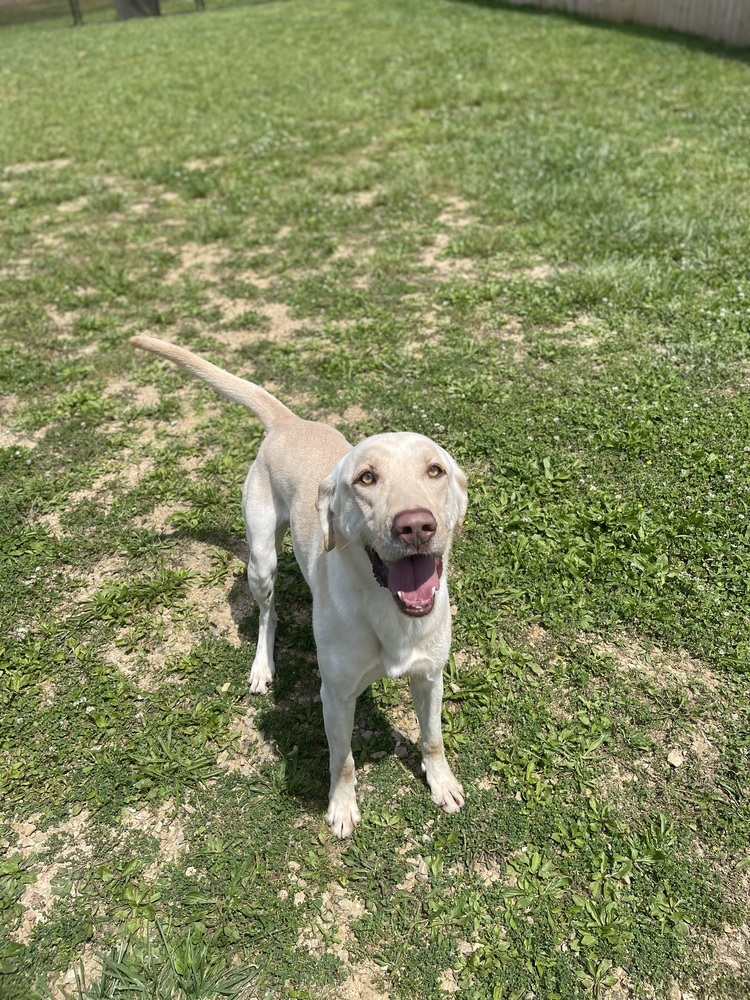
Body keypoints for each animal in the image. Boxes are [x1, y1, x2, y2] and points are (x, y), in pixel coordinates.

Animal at [130, 336, 470, 836]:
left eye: (435, 471)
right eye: (366, 478)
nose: (415, 526)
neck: (386, 611)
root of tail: (289, 421)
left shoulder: (430, 677)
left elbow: (432, 738)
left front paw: (441, 782)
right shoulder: (335, 696)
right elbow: (342, 760)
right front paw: (342, 808)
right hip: (261, 561)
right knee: (267, 615)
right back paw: (262, 666)